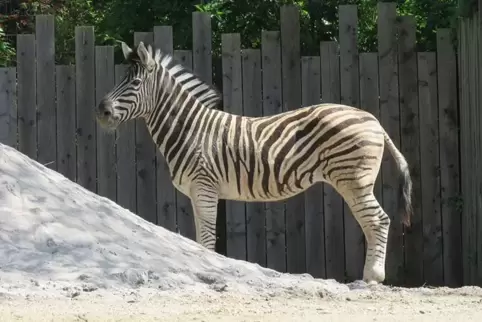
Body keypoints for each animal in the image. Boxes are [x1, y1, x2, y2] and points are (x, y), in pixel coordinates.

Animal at [96, 41, 412, 286]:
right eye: (120, 79)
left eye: (135, 83)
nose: (101, 111)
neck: (191, 129)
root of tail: (373, 120)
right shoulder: (199, 193)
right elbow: (200, 237)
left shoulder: (205, 187)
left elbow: (207, 237)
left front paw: (211, 271)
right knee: (374, 221)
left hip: (353, 179)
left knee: (378, 220)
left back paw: (372, 277)